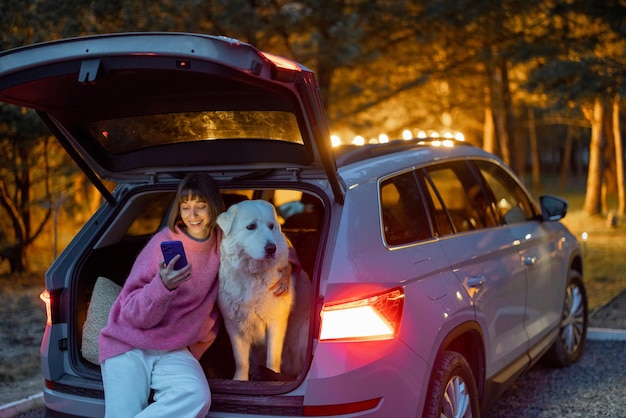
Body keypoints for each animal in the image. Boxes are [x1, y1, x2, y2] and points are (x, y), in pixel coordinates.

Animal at [217, 201, 310, 380]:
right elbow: (241, 360)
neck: (254, 275)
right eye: (251, 227)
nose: (271, 248)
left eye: (271, 226)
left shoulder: (276, 321)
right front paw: (240, 379)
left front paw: (273, 375)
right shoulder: (233, 325)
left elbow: (272, 357)